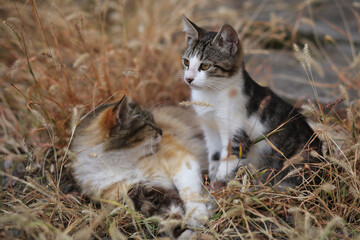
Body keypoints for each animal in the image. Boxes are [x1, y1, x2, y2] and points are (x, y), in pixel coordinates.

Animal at [70, 96, 208, 239]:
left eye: (154, 121)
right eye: (149, 125)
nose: (161, 131)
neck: (121, 164)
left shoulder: (182, 161)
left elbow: (189, 191)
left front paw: (196, 215)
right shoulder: (144, 192)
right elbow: (171, 216)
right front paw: (185, 231)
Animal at [181, 16, 322, 189]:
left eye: (205, 66)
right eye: (186, 62)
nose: (188, 78)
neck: (210, 95)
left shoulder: (237, 134)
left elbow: (228, 161)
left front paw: (219, 186)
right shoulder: (210, 130)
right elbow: (215, 158)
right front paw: (212, 183)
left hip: (297, 161)